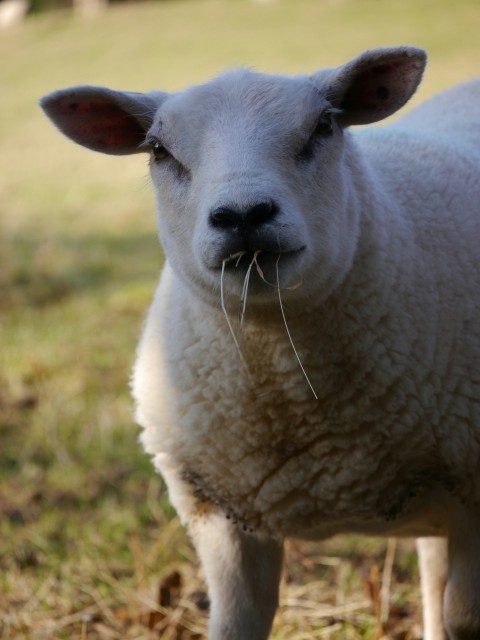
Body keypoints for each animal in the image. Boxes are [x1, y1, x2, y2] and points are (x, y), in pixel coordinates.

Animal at [40, 46, 480, 640]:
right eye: (158, 150)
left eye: (324, 126)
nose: (243, 215)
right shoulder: (218, 515)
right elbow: (235, 625)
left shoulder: (475, 495)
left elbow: (466, 619)